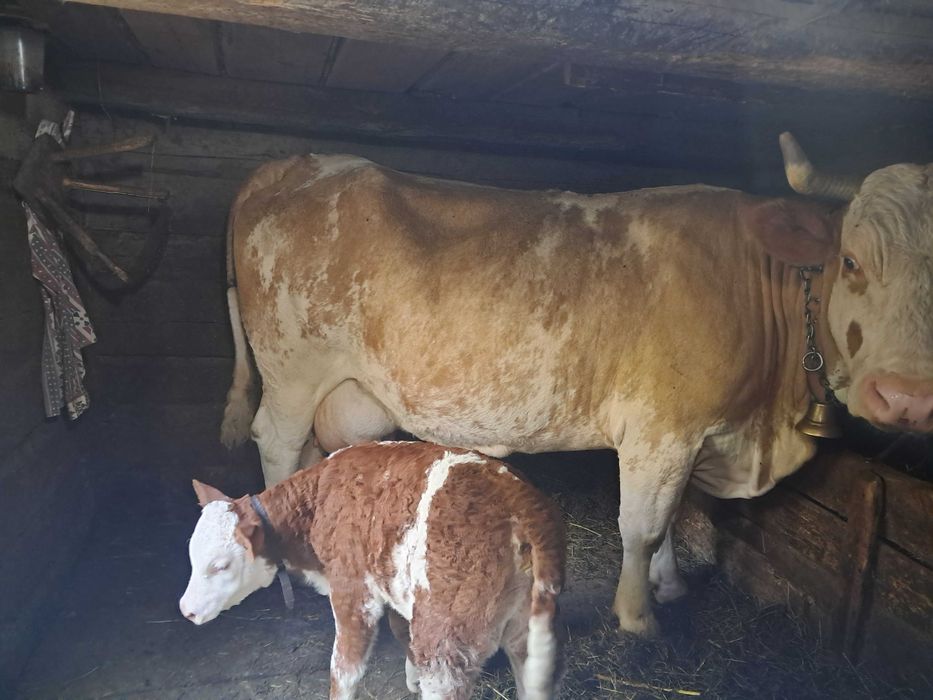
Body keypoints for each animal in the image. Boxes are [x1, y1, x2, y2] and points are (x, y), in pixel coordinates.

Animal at [180, 441, 566, 700]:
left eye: (220, 564)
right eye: (192, 555)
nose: (186, 611)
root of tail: (520, 499)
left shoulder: (353, 589)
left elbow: (344, 669)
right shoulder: (394, 584)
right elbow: (400, 630)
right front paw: (411, 678)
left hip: (448, 642)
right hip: (523, 628)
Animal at [219, 133, 933, 636]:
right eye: (851, 261)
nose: (905, 396)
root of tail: (296, 163)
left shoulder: (689, 434)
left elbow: (672, 516)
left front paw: (670, 588)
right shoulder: (661, 429)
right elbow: (642, 526)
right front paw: (639, 618)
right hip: (293, 369)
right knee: (276, 443)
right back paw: (292, 584)